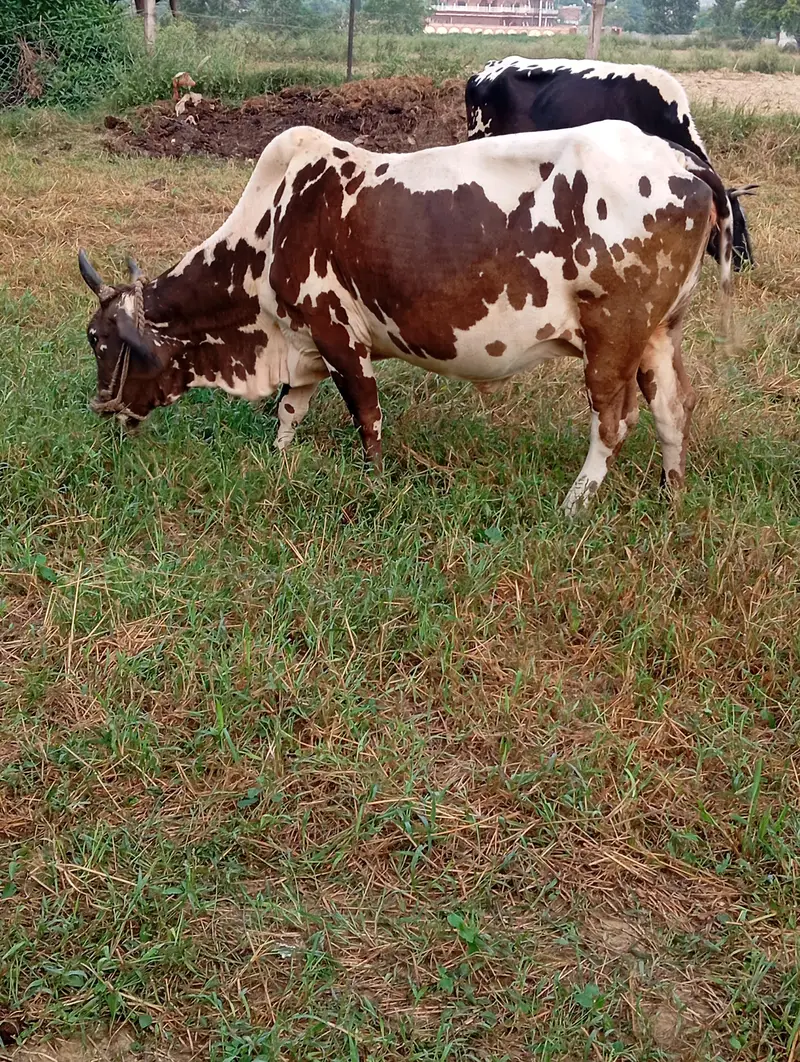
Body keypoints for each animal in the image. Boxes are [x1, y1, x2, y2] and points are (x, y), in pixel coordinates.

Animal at [79, 120, 732, 514]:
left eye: (99, 341)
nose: (104, 412)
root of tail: (684, 162)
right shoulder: (305, 340)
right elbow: (290, 409)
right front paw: (281, 459)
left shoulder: (340, 336)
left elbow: (366, 417)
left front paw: (374, 481)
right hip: (657, 335)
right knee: (672, 407)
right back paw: (672, 497)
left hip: (613, 337)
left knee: (613, 422)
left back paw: (575, 504)